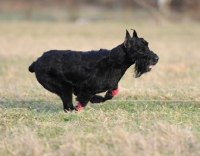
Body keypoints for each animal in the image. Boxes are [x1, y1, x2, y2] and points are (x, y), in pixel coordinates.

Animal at [28, 29, 159, 111]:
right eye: (140, 49)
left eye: (147, 45)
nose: (156, 58)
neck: (115, 61)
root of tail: (36, 62)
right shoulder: (86, 88)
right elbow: (84, 98)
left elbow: (111, 94)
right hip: (63, 88)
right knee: (68, 106)